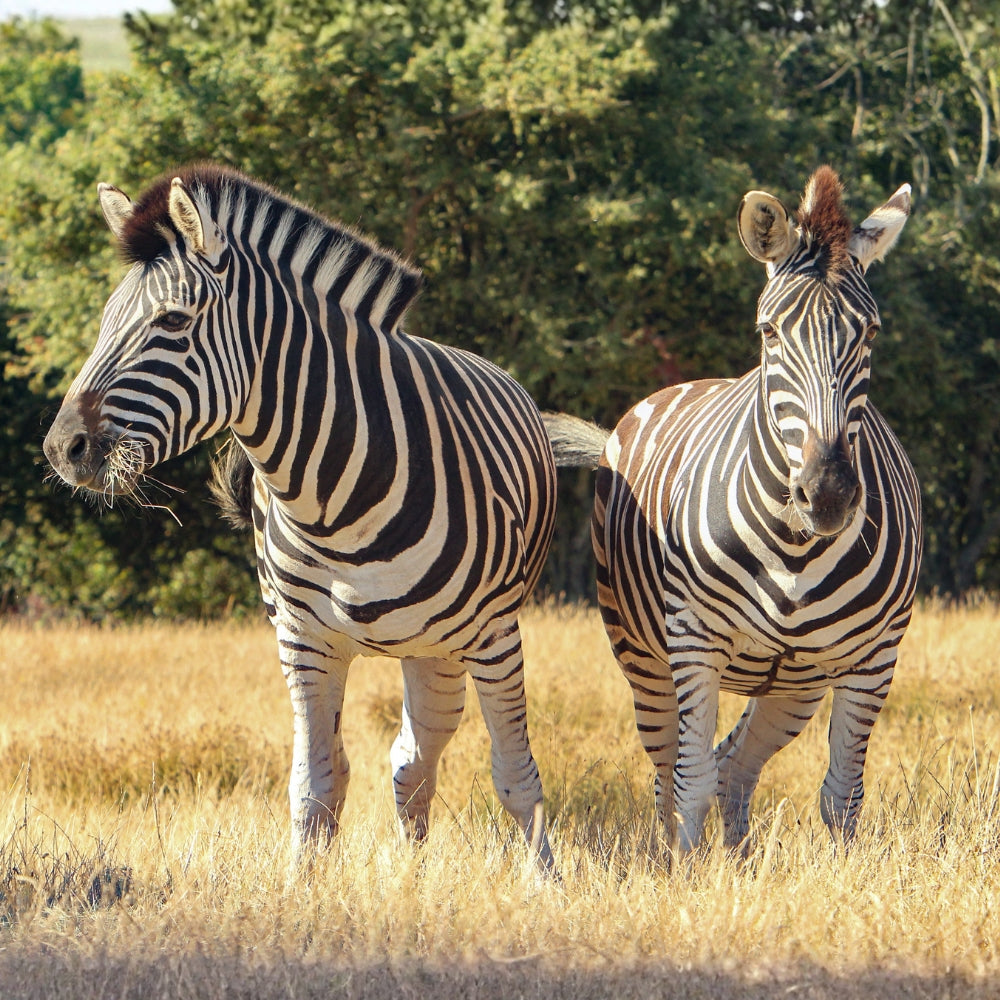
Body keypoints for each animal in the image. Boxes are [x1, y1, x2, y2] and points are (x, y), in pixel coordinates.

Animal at [42, 164, 557, 869]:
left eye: (172, 321)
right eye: (103, 321)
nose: (60, 449)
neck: (337, 504)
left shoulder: (496, 635)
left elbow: (516, 776)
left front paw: (546, 882)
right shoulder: (303, 642)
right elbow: (316, 783)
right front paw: (303, 884)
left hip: (446, 644)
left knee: (421, 756)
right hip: (421, 650)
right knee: (411, 759)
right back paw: (412, 870)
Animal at [544, 167, 922, 854]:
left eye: (872, 332)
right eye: (770, 331)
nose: (828, 492)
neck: (796, 547)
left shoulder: (875, 656)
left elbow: (842, 798)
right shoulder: (694, 643)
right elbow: (689, 786)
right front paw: (691, 878)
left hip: (793, 684)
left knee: (736, 764)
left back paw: (740, 859)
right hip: (644, 659)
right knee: (672, 773)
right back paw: (679, 858)